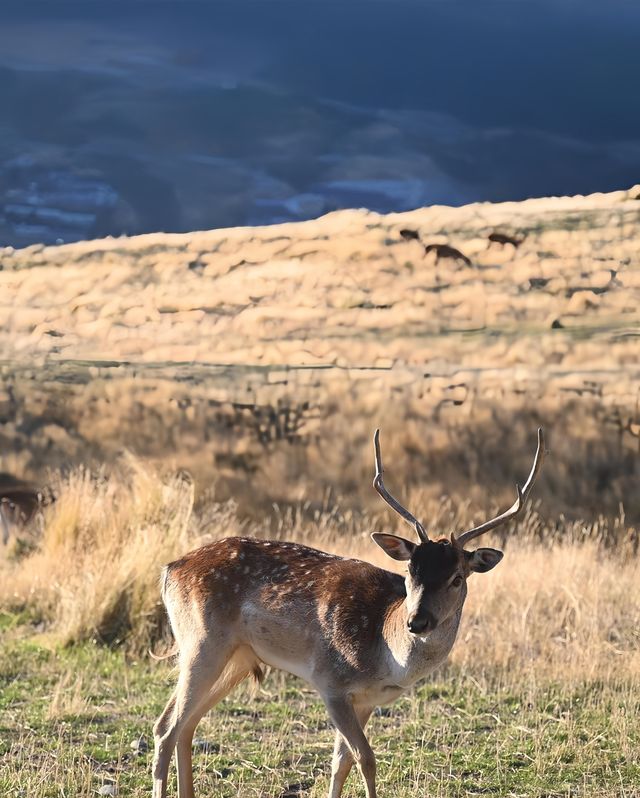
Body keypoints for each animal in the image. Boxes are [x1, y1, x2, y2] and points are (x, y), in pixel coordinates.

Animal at [151, 428, 544, 796]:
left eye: (457, 577)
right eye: (410, 570)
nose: (417, 621)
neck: (386, 653)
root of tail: (170, 569)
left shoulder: (368, 699)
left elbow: (341, 762)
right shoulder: (330, 681)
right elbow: (365, 758)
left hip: (238, 658)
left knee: (186, 724)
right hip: (202, 641)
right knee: (166, 726)